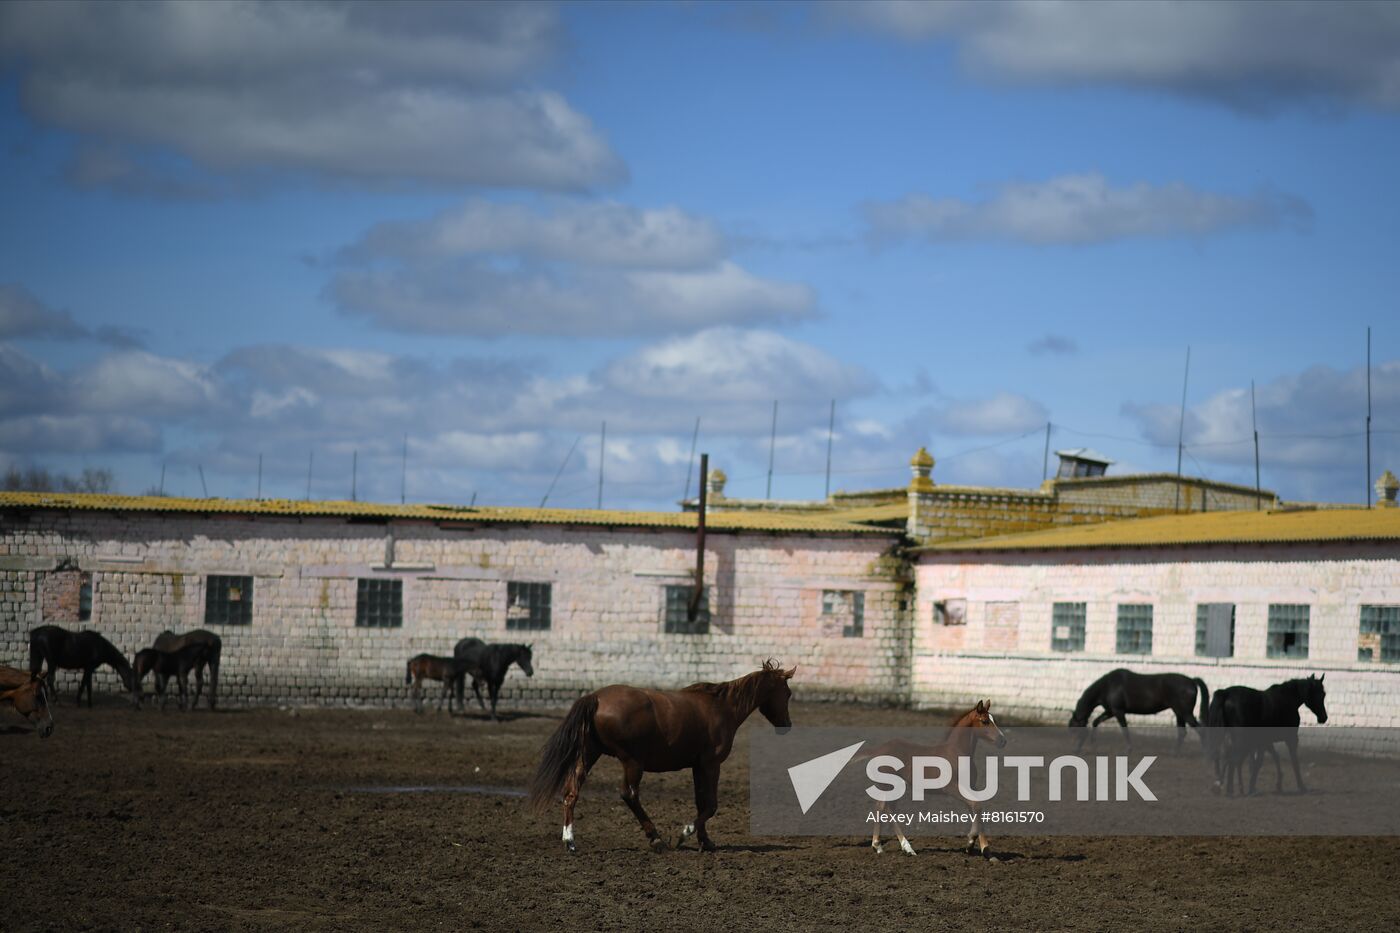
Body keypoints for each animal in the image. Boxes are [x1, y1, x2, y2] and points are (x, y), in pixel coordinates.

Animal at [529, 659, 796, 854]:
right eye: (788, 693)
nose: (787, 725)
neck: (721, 707)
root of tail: (596, 697)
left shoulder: (698, 766)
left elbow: (701, 802)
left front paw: (705, 841)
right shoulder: (711, 765)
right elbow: (711, 805)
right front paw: (685, 833)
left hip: (588, 755)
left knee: (571, 791)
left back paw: (569, 840)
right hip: (632, 762)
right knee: (629, 794)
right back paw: (656, 838)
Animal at [866, 700, 1008, 857]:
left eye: (994, 720)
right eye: (984, 721)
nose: (1002, 740)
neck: (957, 752)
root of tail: (879, 749)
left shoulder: (970, 787)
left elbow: (976, 808)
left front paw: (985, 851)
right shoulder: (951, 787)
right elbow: (976, 805)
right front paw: (971, 842)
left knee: (885, 808)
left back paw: (889, 846)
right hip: (889, 785)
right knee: (882, 808)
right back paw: (893, 847)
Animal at [1068, 669, 1209, 752]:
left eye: (1076, 729)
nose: (1075, 749)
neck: (1108, 686)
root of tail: (1191, 681)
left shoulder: (1118, 711)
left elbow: (1124, 729)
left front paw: (1129, 748)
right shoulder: (1110, 711)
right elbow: (1096, 722)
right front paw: (1093, 743)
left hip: (1185, 713)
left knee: (1200, 730)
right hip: (1179, 713)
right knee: (1182, 733)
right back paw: (1174, 753)